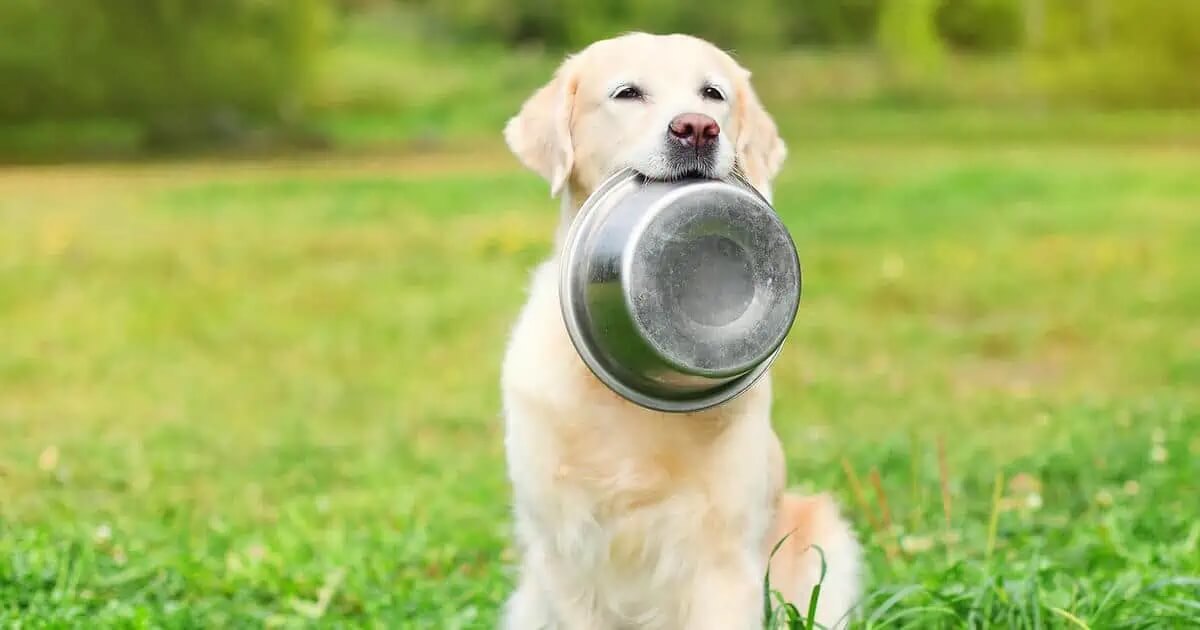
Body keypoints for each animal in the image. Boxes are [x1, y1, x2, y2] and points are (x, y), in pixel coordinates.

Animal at [499, 34, 864, 628]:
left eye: (712, 94)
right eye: (627, 93)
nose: (696, 128)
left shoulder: (725, 558)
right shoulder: (567, 554)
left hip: (821, 539)